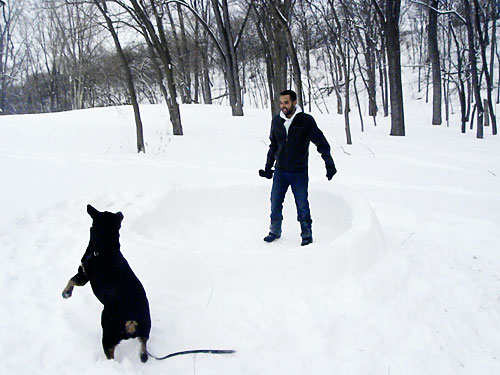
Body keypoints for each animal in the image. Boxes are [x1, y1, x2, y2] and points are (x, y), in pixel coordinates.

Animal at [61, 204, 150, 362]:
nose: (120, 212)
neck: (104, 247)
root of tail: (131, 320)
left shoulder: (83, 275)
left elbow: (71, 280)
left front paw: (66, 293)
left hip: (108, 333)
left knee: (111, 355)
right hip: (145, 332)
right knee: (143, 350)